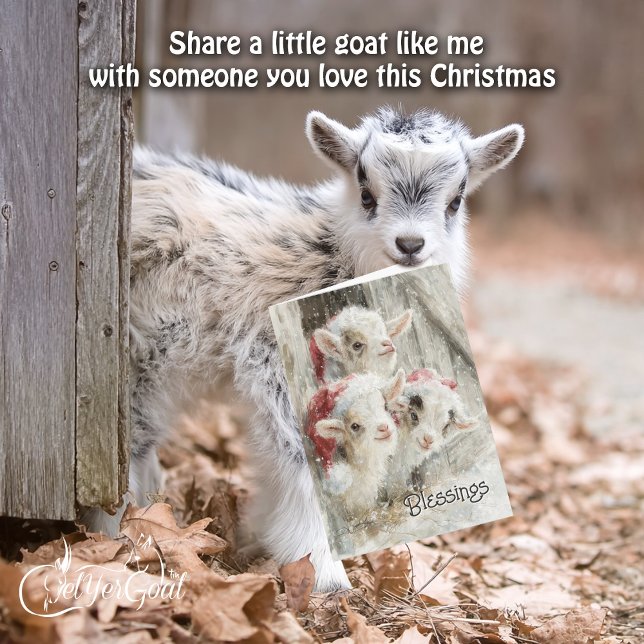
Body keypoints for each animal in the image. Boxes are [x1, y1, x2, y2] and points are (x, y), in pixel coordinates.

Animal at [85, 106, 524, 592]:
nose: (410, 245)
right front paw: (324, 573)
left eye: (456, 200)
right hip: (133, 358)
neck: (329, 250)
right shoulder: (272, 363)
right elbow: (303, 457)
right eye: (366, 193)